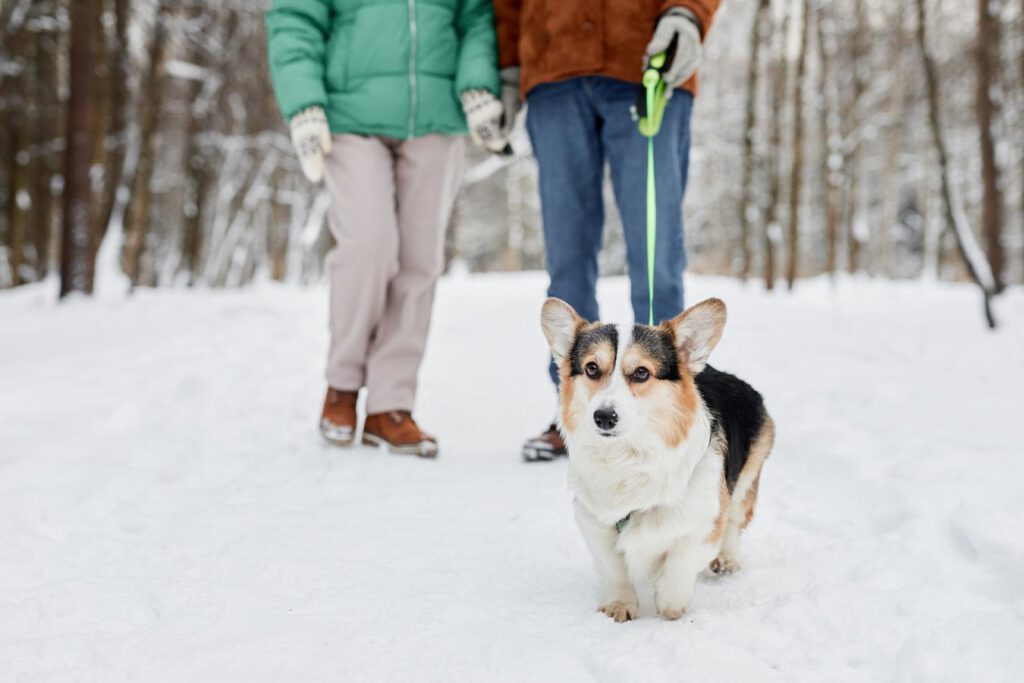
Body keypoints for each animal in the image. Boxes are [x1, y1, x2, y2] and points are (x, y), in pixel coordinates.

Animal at [540, 296, 770, 622]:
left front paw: (670, 604)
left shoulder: (704, 522)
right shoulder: (594, 523)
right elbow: (614, 569)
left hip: (748, 474)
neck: (629, 456)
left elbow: (680, 564)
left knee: (736, 520)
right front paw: (619, 605)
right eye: (592, 368)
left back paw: (727, 559)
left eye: (641, 373)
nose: (604, 417)